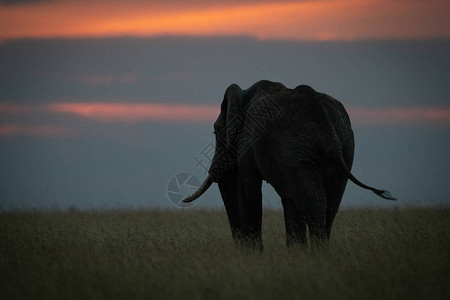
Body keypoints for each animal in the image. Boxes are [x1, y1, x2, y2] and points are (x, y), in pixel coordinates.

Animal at [182, 79, 394, 248]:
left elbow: (248, 189)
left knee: (315, 202)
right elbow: (288, 199)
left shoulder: (248, 140)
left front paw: (254, 256)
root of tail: (328, 130)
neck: (245, 93)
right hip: (342, 149)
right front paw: (294, 253)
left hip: (299, 151)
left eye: (215, 132)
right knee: (329, 204)